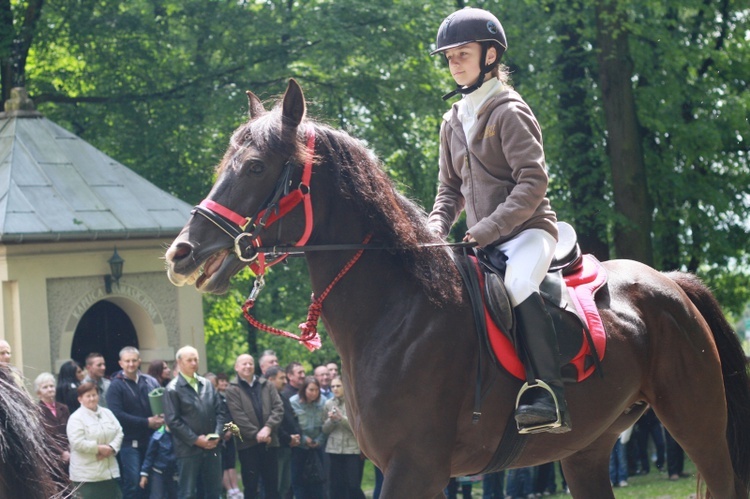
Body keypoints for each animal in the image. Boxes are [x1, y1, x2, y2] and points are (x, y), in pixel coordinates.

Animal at [166, 80, 750, 498]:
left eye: (256, 167)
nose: (181, 253)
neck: (396, 312)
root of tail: (670, 283)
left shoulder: (415, 468)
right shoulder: (407, 469)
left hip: (699, 425)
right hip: (586, 450)